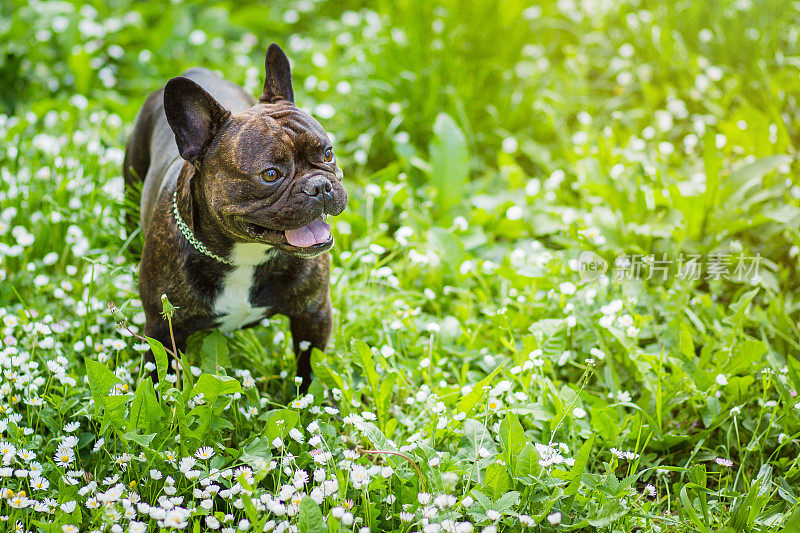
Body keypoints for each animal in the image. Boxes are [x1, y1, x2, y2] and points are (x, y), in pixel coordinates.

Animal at [124, 42, 346, 386]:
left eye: (327, 153)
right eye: (270, 174)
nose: (320, 186)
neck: (246, 256)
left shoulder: (314, 314)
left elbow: (311, 370)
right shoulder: (163, 331)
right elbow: (163, 379)